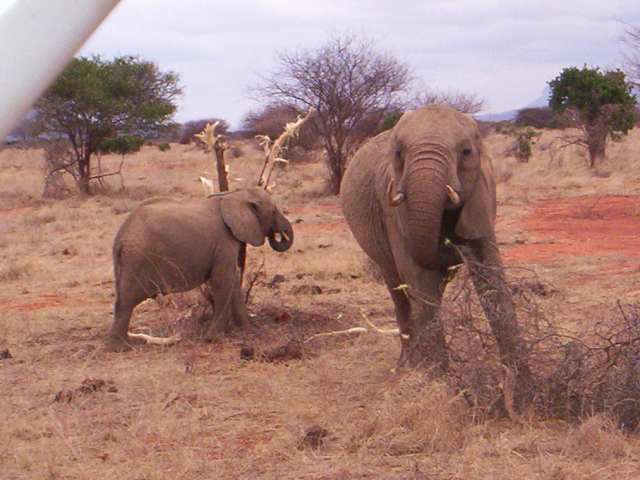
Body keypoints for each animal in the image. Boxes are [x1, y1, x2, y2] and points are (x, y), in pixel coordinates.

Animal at [107, 188, 294, 351]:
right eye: (274, 211)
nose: (280, 234)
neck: (235, 194)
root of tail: (120, 237)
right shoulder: (224, 241)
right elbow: (222, 280)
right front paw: (213, 339)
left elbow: (232, 281)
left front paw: (249, 331)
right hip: (137, 258)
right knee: (127, 301)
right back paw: (122, 347)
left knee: (122, 300)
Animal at [341, 105, 531, 404]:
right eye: (399, 153)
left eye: (466, 152)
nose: (453, 244)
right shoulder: (393, 207)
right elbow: (419, 277)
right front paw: (440, 386)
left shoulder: (481, 196)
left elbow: (491, 274)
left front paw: (524, 388)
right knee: (399, 290)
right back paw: (407, 366)